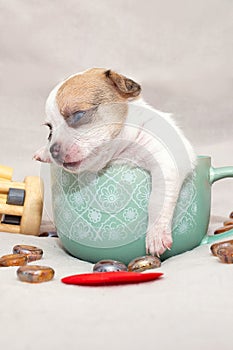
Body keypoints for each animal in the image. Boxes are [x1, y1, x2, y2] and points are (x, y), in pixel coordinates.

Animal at [34, 67, 195, 254]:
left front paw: (156, 234)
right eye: (50, 130)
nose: (53, 150)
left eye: (78, 115)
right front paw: (44, 151)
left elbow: (157, 199)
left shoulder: (166, 163)